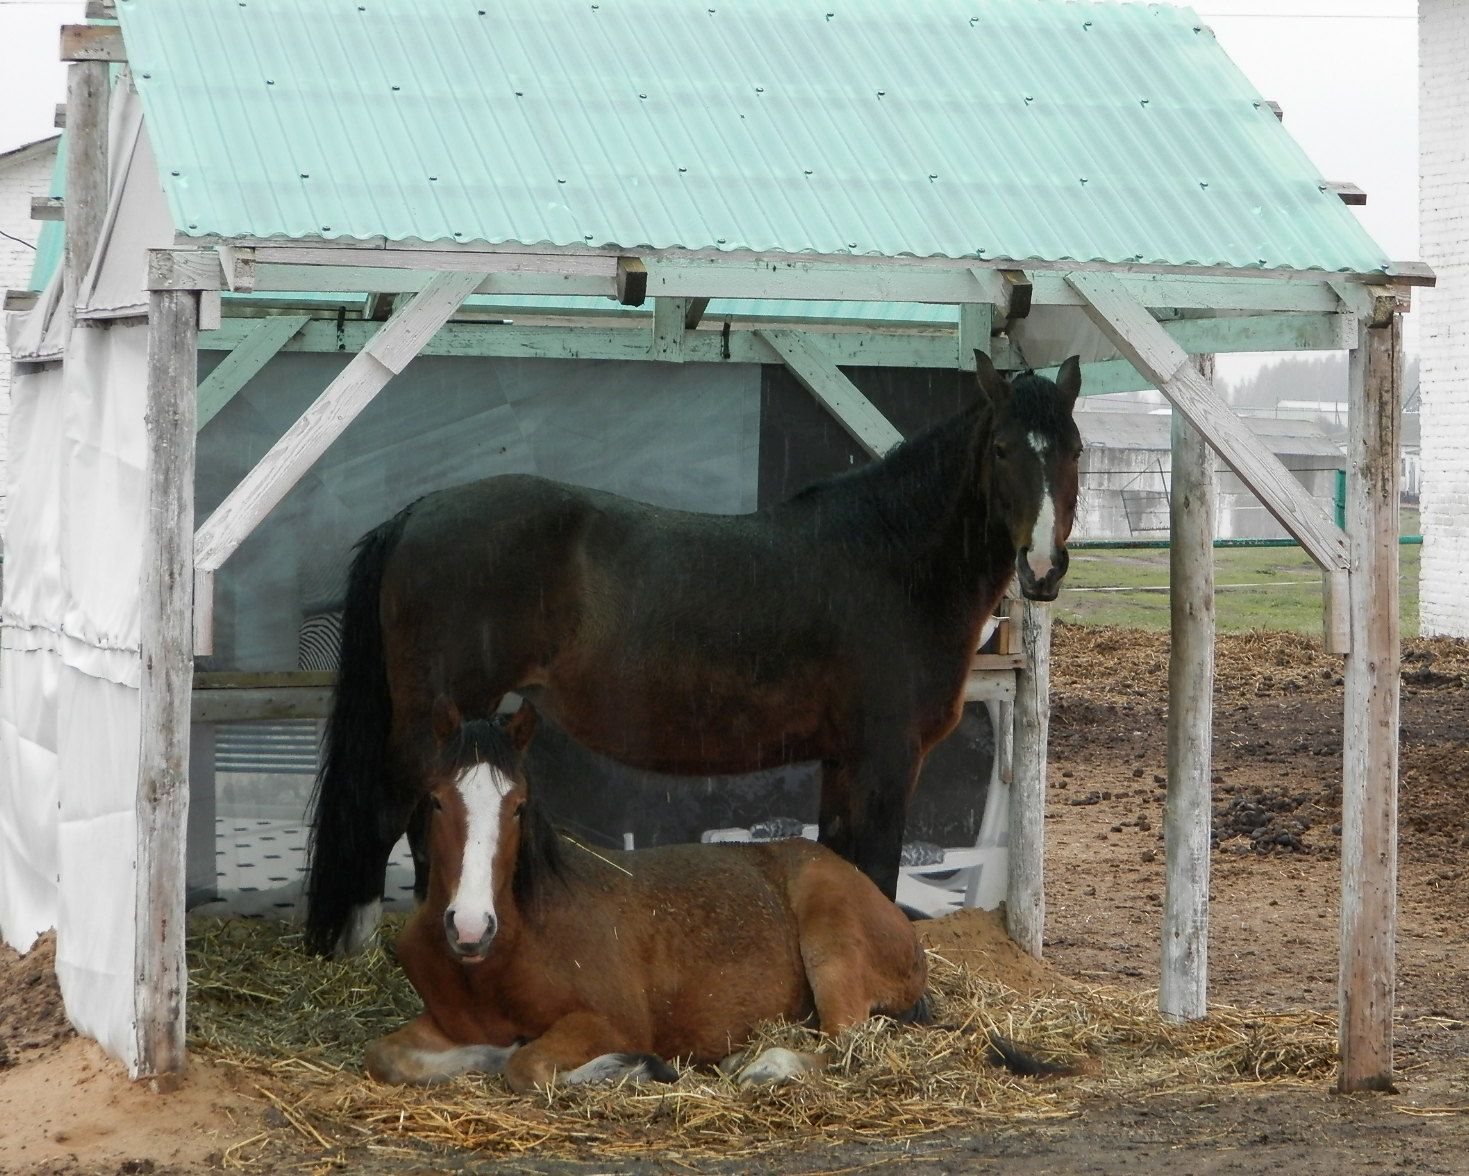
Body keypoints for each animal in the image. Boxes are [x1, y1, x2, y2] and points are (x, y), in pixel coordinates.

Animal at [304, 349, 1081, 951]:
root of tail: (417, 513)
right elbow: (876, 873)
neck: (888, 561)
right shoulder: (884, 761)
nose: (1042, 569)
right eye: (1003, 449)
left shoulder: (841, 762)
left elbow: (838, 865)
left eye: (1074, 450)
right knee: (385, 817)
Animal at [361, 701, 922, 1086]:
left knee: (848, 1047)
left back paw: (768, 1065)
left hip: (831, 950)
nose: (471, 926)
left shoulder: (609, 1022)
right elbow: (386, 1056)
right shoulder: (446, 1022)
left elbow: (529, 1066)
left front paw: (635, 1068)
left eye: (518, 806)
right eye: (436, 799)